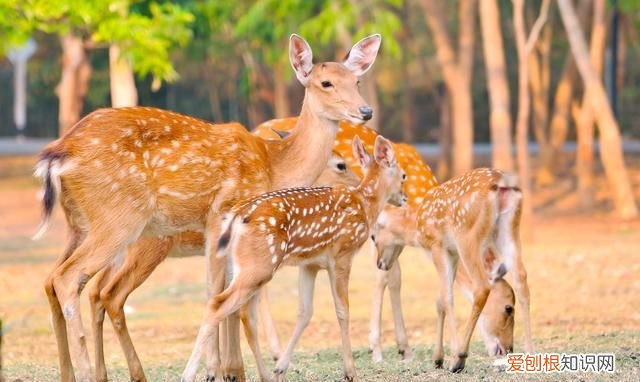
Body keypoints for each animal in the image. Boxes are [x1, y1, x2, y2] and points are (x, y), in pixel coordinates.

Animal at [33, 33, 380, 382]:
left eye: (356, 80)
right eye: (326, 83)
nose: (365, 111)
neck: (273, 166)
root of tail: (58, 153)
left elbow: (224, 292)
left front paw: (226, 369)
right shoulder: (222, 214)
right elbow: (221, 294)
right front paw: (224, 370)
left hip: (79, 224)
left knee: (55, 280)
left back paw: (76, 373)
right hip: (120, 219)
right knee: (73, 280)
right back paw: (93, 373)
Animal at [182, 136, 408, 382]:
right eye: (404, 175)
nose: (404, 198)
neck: (365, 206)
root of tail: (236, 216)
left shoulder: (310, 264)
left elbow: (305, 312)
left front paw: (281, 368)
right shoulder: (342, 255)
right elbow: (343, 311)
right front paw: (350, 372)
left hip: (240, 266)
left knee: (243, 314)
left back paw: (264, 375)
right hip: (259, 264)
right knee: (219, 304)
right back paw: (188, 374)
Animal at [252, 118, 516, 362]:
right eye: (508, 308)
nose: (505, 349)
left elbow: (394, 277)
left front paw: (403, 348)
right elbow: (383, 277)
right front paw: (378, 348)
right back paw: (276, 351)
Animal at [376, 169, 528, 372]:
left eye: (373, 237)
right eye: (509, 307)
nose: (508, 348)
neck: (418, 224)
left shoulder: (438, 246)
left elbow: (447, 298)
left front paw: (450, 356)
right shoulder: (451, 252)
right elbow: (440, 300)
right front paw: (437, 358)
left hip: (468, 236)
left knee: (481, 286)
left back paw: (459, 358)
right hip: (509, 230)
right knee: (521, 277)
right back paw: (530, 352)